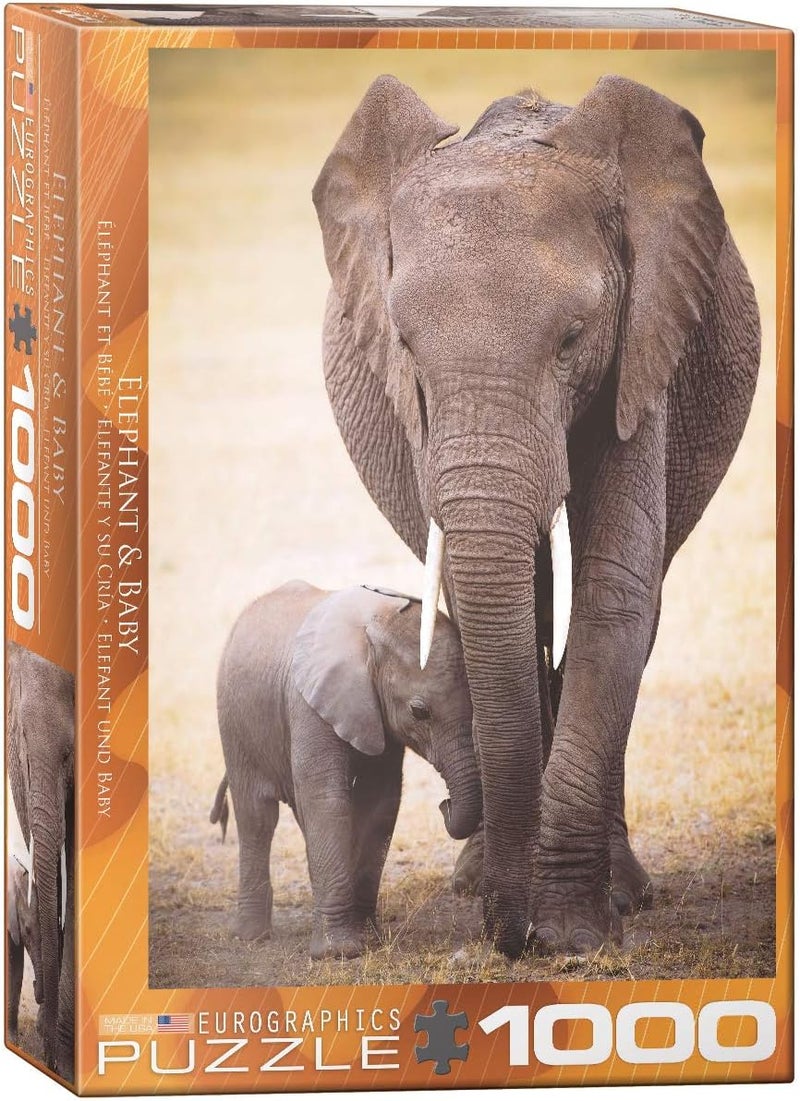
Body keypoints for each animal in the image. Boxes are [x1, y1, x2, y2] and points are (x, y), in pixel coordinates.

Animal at [211, 580, 481, 959]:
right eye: (419, 712)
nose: (445, 804)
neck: (374, 628)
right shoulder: (308, 703)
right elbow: (327, 800)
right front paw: (338, 953)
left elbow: (381, 803)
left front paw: (368, 938)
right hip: (234, 720)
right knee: (256, 816)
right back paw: (251, 936)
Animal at [313, 75, 760, 957]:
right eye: (405, 347)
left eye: (573, 339)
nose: (506, 937)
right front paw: (522, 909)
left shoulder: (644, 348)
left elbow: (613, 594)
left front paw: (575, 933)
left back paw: (622, 891)